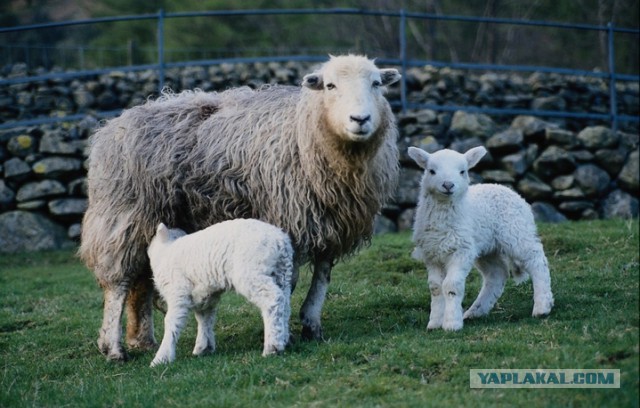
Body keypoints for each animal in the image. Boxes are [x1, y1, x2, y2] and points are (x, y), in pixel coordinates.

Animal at [147, 220, 292, 366]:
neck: (165, 253)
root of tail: (280, 241)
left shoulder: (177, 292)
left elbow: (171, 322)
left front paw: (161, 358)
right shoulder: (206, 296)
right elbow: (205, 319)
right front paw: (203, 347)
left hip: (252, 271)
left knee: (273, 298)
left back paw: (272, 347)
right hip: (282, 274)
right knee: (285, 305)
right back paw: (284, 339)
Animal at [410, 145, 556, 330]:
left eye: (463, 171)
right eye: (431, 171)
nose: (448, 185)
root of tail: (504, 188)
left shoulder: (461, 249)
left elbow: (451, 285)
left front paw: (451, 323)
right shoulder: (432, 253)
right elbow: (435, 288)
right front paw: (435, 323)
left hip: (516, 231)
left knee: (536, 260)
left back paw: (542, 306)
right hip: (488, 247)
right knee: (497, 274)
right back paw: (475, 311)